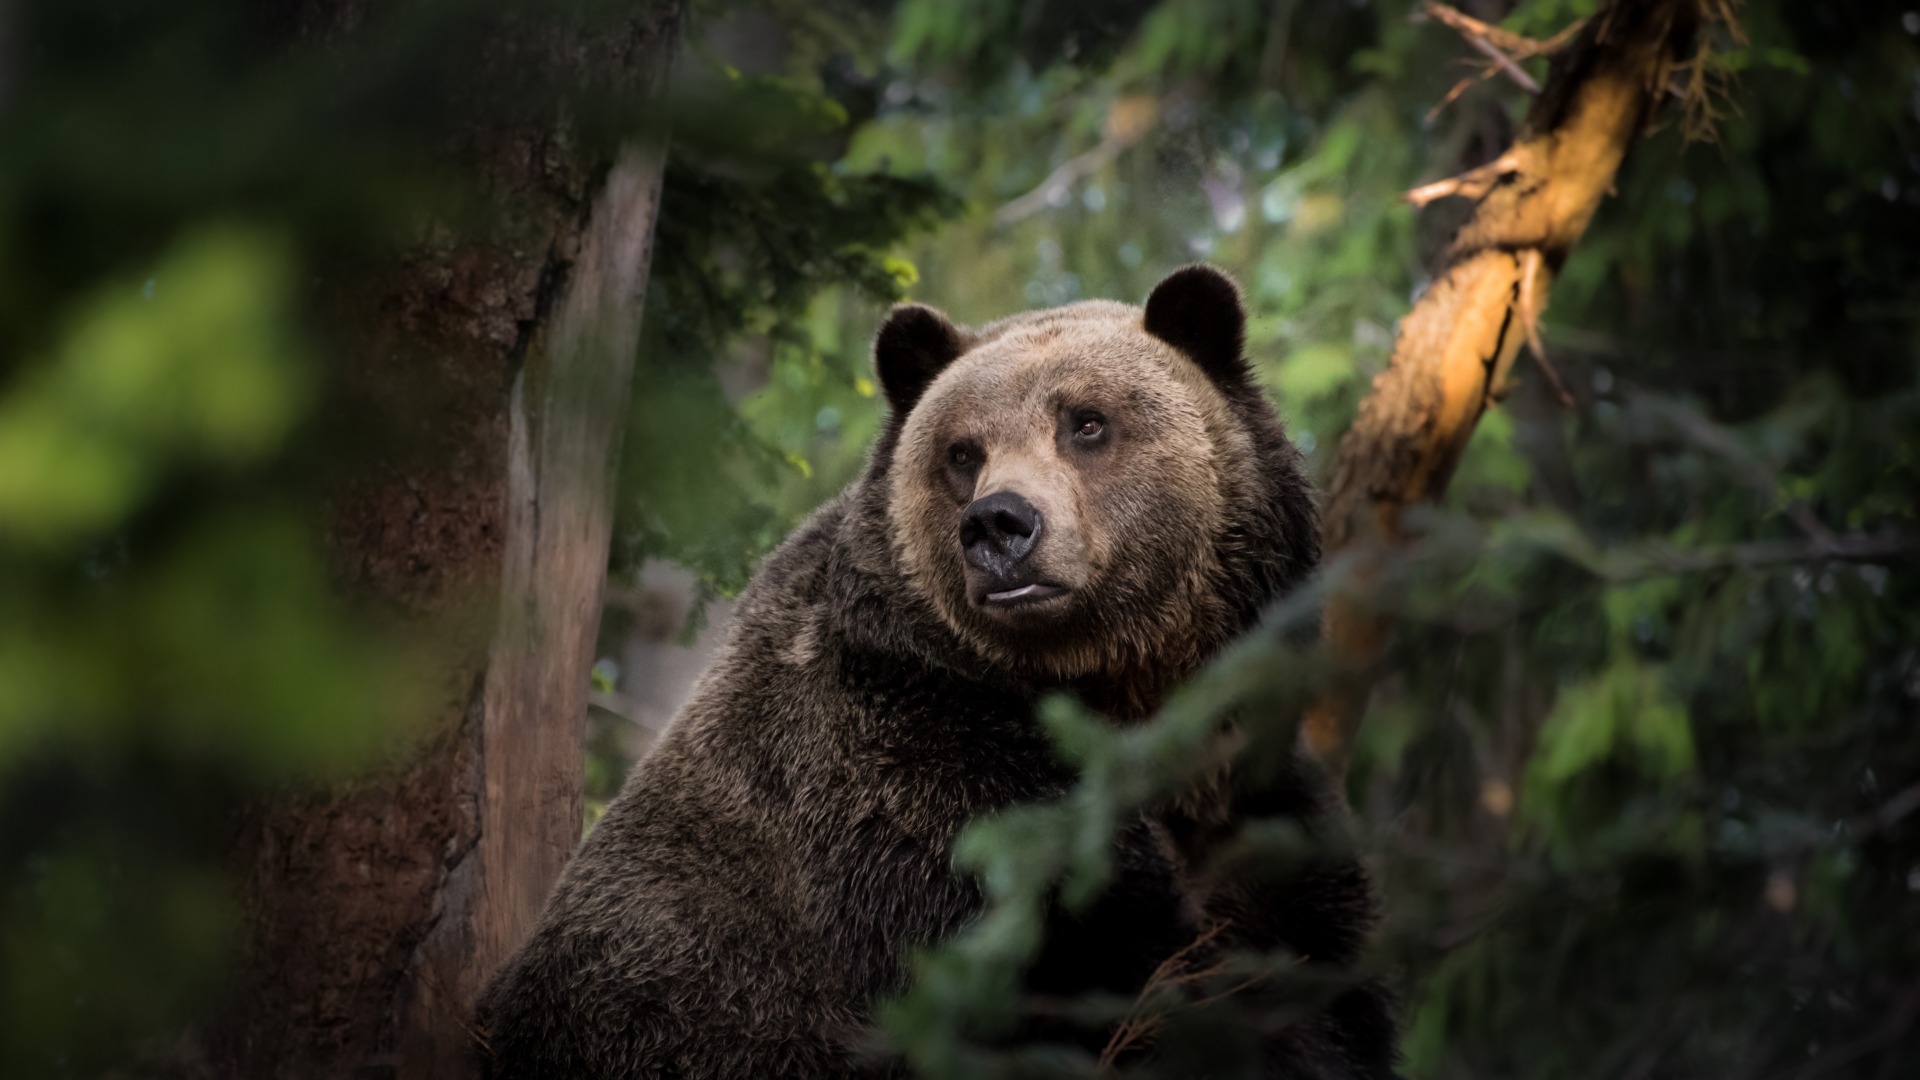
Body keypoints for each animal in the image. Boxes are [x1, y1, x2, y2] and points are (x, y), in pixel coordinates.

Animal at [468, 265, 1397, 1068]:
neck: (1113, 696)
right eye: (962, 451)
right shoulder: (913, 792)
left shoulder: (1260, 811)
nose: (1000, 525)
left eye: (1086, 421)